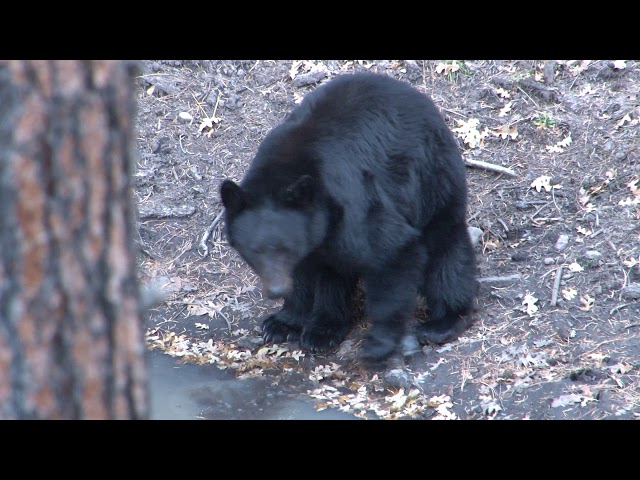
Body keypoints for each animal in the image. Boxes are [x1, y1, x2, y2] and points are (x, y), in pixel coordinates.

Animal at [220, 72, 477, 366]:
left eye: (285, 248)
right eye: (255, 250)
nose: (275, 290)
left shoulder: (355, 202)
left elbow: (394, 251)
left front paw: (378, 342)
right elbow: (305, 273)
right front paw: (283, 322)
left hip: (431, 178)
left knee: (444, 245)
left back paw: (444, 321)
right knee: (335, 269)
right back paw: (324, 329)